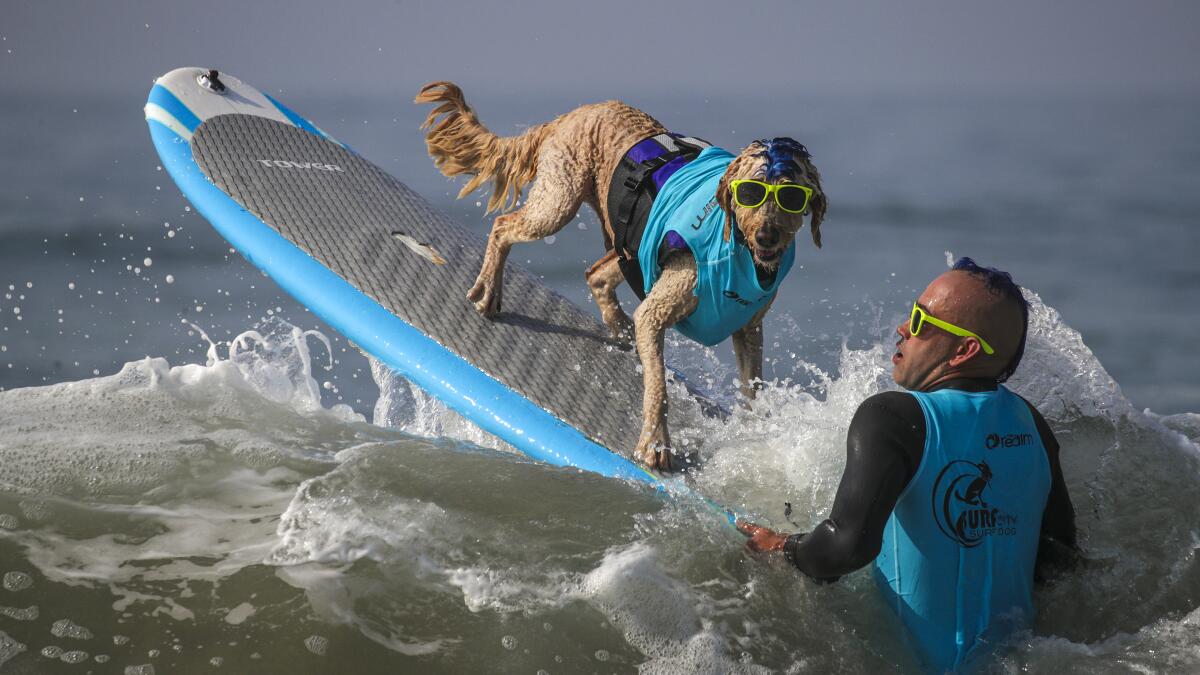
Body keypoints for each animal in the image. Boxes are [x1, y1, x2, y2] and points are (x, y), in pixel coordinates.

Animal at [415, 81, 825, 470]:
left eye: (793, 197)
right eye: (750, 193)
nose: (767, 235)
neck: (738, 248)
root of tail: (571, 115)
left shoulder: (749, 329)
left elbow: (753, 387)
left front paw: (756, 429)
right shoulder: (658, 310)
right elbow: (658, 387)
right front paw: (656, 444)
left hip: (626, 241)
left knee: (596, 273)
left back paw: (619, 326)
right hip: (559, 200)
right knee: (504, 227)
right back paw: (489, 288)